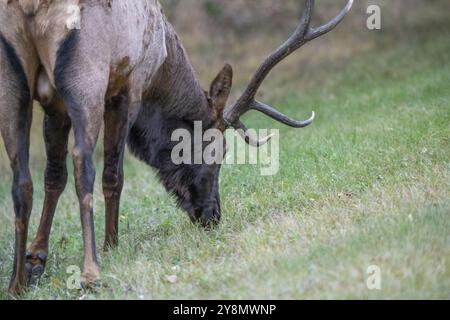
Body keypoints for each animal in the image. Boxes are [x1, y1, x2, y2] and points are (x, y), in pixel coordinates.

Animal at [0, 0, 352, 296]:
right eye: (220, 150)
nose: (213, 215)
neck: (163, 61)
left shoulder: (54, 104)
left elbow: (52, 177)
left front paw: (35, 259)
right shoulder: (128, 87)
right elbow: (114, 175)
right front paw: (112, 245)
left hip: (13, 82)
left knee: (22, 180)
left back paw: (16, 283)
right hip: (87, 75)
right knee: (83, 164)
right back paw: (91, 272)